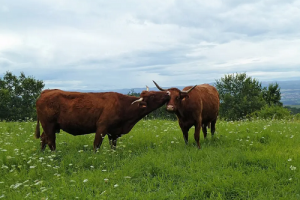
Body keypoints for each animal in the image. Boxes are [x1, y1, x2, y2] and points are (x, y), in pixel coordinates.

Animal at [34, 88, 171, 151]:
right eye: (152, 95)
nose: (168, 93)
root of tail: (46, 91)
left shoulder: (114, 132)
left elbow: (113, 146)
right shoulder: (102, 127)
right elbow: (96, 145)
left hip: (50, 127)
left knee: (43, 139)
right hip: (48, 125)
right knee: (51, 142)